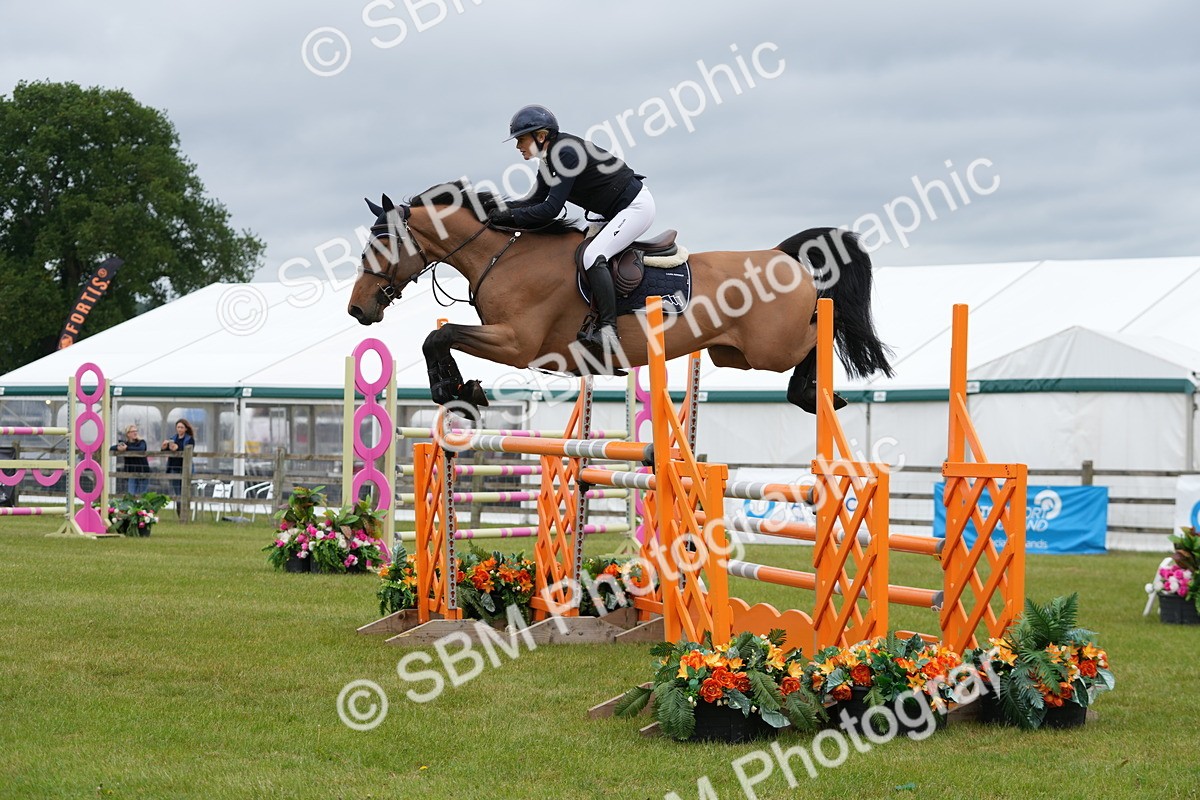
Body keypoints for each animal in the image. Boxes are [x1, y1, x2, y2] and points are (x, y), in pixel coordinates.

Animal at [347, 180, 893, 416]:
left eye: (383, 242)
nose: (358, 308)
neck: (504, 255)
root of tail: (784, 257)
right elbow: (435, 339)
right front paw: (458, 390)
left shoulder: (517, 344)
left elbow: (439, 338)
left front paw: (455, 389)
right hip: (731, 354)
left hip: (769, 349)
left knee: (823, 333)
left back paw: (813, 394)